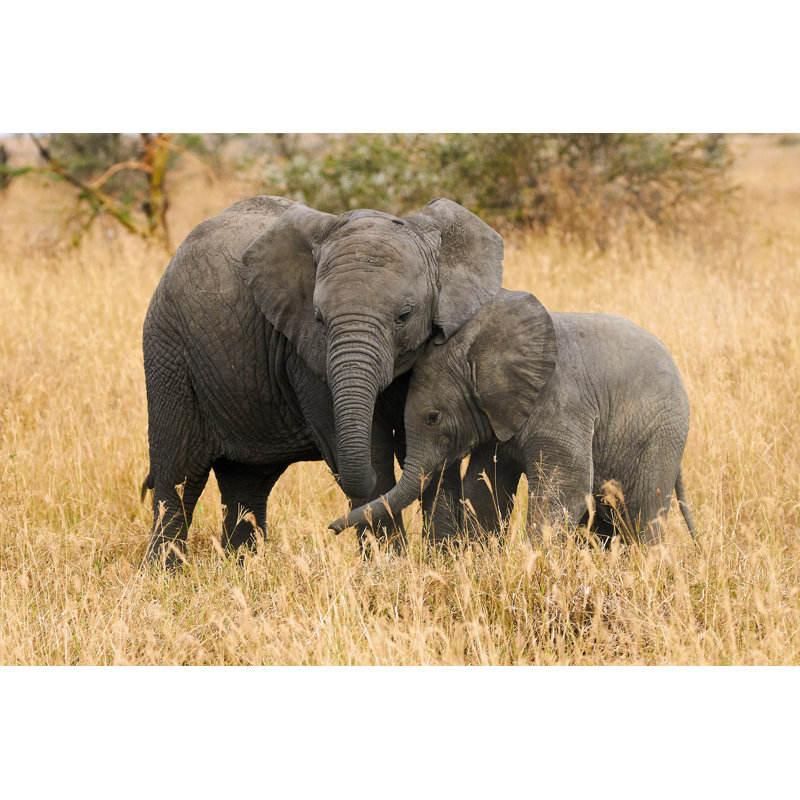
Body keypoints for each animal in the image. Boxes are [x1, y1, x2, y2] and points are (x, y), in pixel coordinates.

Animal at [140, 195, 504, 564]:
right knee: (179, 477)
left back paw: (242, 565)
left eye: (405, 315)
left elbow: (437, 448)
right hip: (169, 354)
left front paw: (446, 560)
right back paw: (165, 571)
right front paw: (389, 565)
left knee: (246, 484)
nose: (332, 528)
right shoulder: (304, 355)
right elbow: (373, 451)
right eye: (319, 319)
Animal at [330, 289, 696, 546]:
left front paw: (535, 561)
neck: (479, 347)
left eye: (433, 417)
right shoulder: (496, 418)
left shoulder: (561, 404)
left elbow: (565, 488)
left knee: (643, 513)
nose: (331, 528)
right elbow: (484, 486)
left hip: (662, 434)